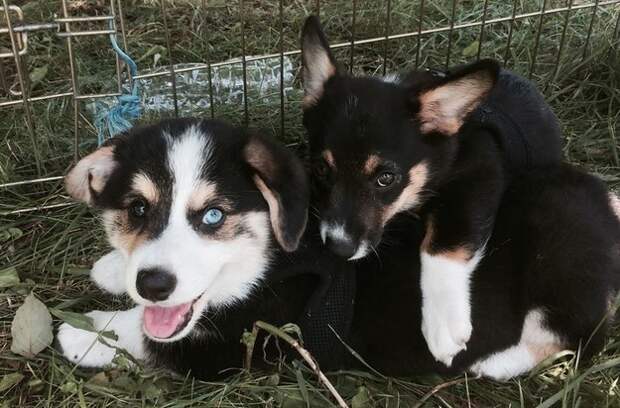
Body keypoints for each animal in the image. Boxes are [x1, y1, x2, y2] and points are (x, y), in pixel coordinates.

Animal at [302, 16, 568, 366]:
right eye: (321, 170)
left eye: (386, 178)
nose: (338, 248)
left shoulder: (478, 176)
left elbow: (443, 245)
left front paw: (444, 326)